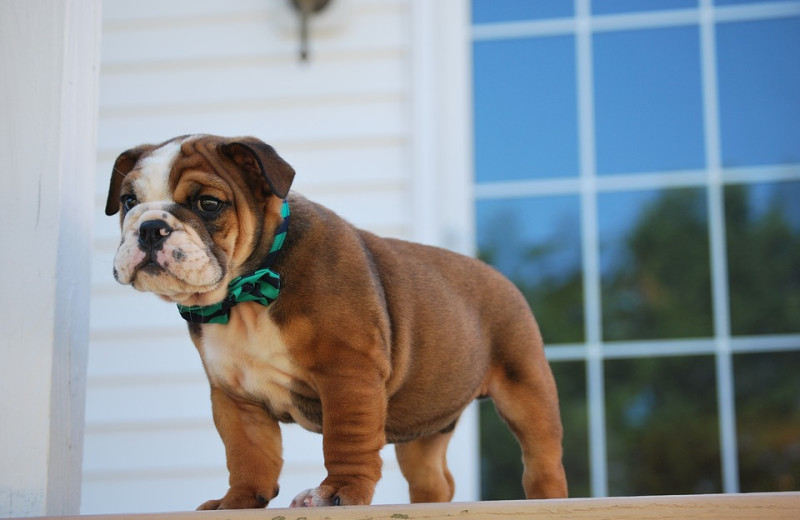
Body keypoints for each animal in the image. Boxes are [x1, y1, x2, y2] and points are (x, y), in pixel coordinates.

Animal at [106, 133, 568, 508]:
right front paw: (237, 502)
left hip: (525, 387)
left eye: (208, 204)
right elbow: (248, 455)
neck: (246, 293)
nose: (150, 227)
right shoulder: (235, 396)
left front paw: (338, 493)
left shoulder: (348, 373)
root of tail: (499, 276)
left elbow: (346, 440)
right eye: (128, 202)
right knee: (433, 479)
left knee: (542, 459)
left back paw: (547, 499)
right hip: (421, 425)